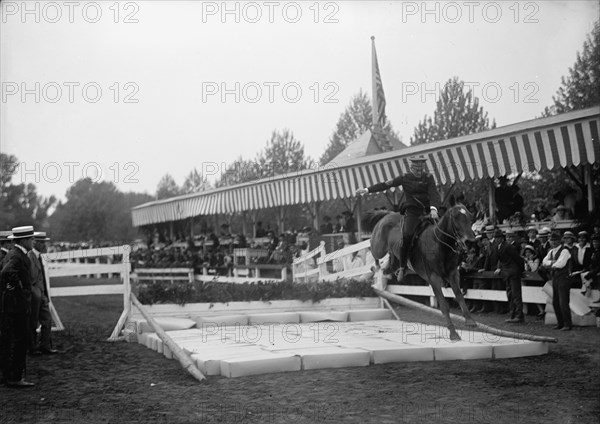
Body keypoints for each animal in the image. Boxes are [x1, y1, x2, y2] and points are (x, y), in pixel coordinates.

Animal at [364, 204, 476, 340]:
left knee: (390, 260)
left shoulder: (453, 274)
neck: (439, 245)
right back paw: (375, 266)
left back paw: (392, 268)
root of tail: (389, 214)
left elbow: (459, 295)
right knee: (372, 247)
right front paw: (453, 333)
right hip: (379, 247)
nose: (471, 240)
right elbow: (444, 305)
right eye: (456, 217)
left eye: (470, 217)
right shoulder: (434, 278)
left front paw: (470, 320)